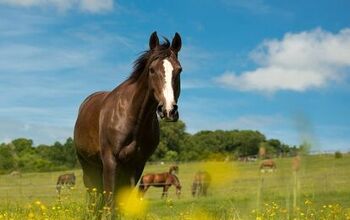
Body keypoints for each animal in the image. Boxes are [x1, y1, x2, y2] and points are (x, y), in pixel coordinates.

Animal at [74, 31, 183, 209]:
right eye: (152, 70)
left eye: (179, 70)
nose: (168, 110)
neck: (133, 117)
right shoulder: (110, 161)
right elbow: (110, 202)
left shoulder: (136, 165)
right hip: (88, 167)